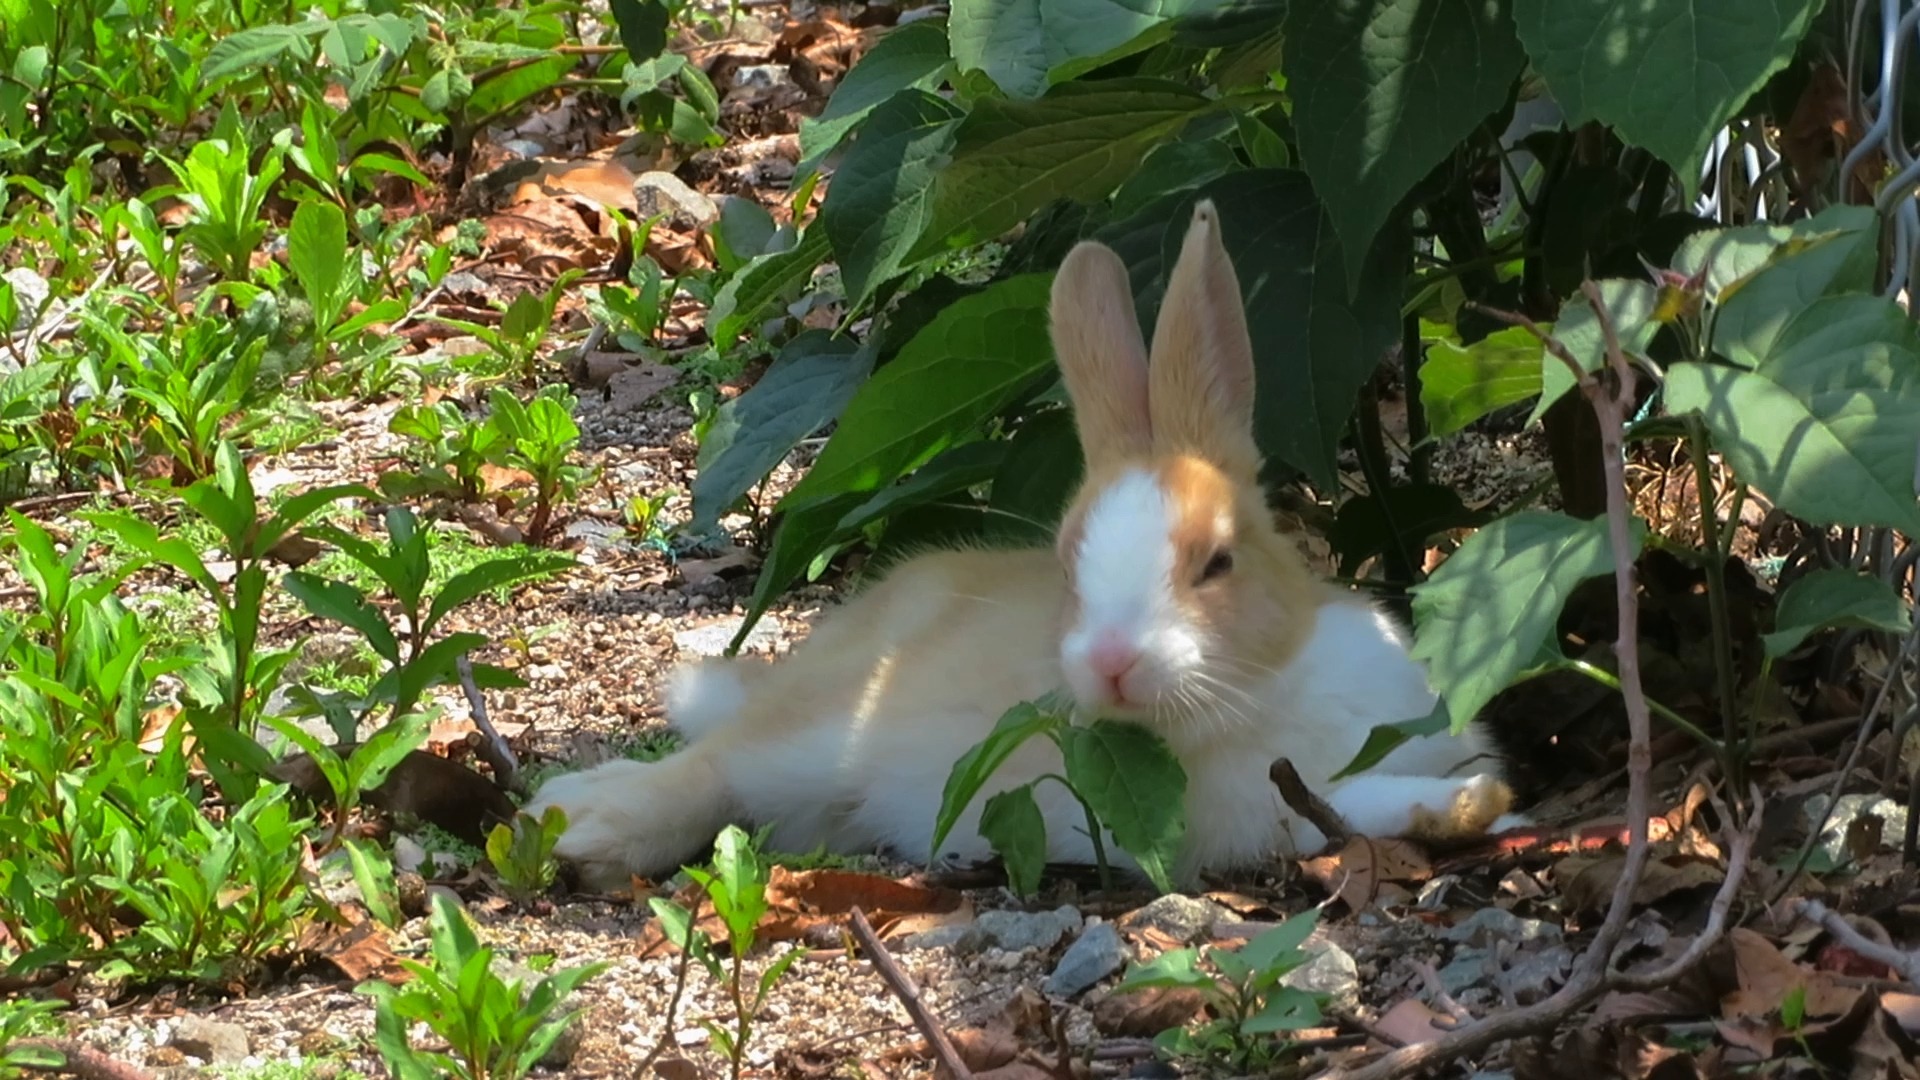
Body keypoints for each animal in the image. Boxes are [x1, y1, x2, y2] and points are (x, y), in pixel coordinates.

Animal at [533, 201, 1520, 891]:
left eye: (1217, 562)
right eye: (1070, 568)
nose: (1111, 663)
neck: (1262, 688)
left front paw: (1473, 803)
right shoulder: (1259, 808)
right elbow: (1341, 809)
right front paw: (1463, 808)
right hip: (823, 729)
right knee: (712, 768)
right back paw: (581, 823)